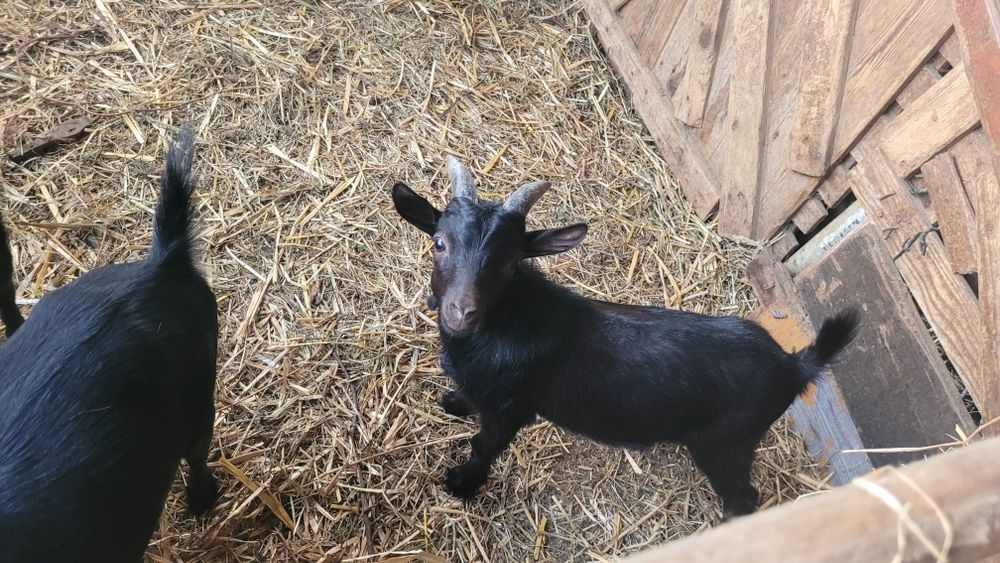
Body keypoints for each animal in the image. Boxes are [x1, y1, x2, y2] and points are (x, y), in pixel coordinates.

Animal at [391, 156, 858, 518]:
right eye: (439, 243)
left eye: (509, 264)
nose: (461, 312)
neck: (504, 324)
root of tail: (793, 364)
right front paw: (455, 401)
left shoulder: (512, 409)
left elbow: (483, 446)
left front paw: (461, 484)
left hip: (726, 445)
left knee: (743, 499)